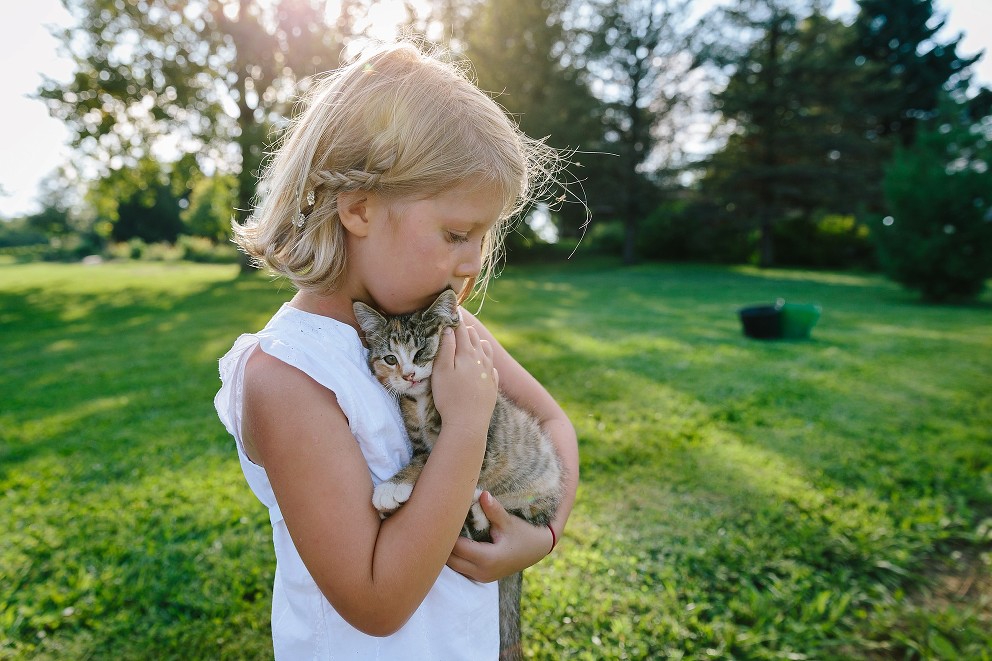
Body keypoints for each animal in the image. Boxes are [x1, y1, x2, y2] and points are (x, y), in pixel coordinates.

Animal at [352, 290, 560, 660]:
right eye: (390, 358)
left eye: (421, 351)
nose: (408, 375)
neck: (422, 401)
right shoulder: (420, 440)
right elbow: (424, 460)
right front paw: (395, 489)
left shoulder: (482, 439)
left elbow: (437, 462)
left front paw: (390, 489)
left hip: (538, 497)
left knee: (517, 517)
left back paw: (479, 509)